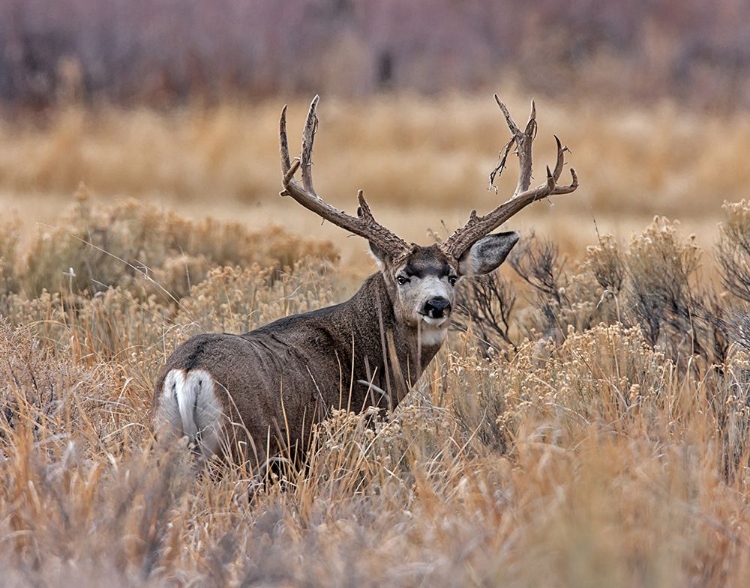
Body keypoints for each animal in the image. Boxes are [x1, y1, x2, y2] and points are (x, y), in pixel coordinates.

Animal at [151, 96, 576, 474]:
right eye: (402, 276)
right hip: (244, 447)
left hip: (166, 439)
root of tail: (188, 373)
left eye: (453, 276)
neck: (368, 354)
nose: (437, 305)